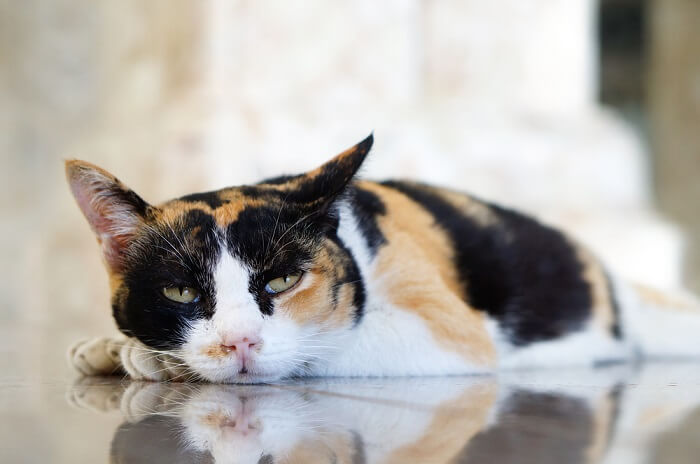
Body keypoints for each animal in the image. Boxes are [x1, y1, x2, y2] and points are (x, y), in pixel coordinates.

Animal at [64, 134, 700, 384]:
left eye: (284, 280)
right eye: (180, 292)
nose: (239, 342)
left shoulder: (449, 331)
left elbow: (321, 347)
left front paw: (145, 357)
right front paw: (106, 346)